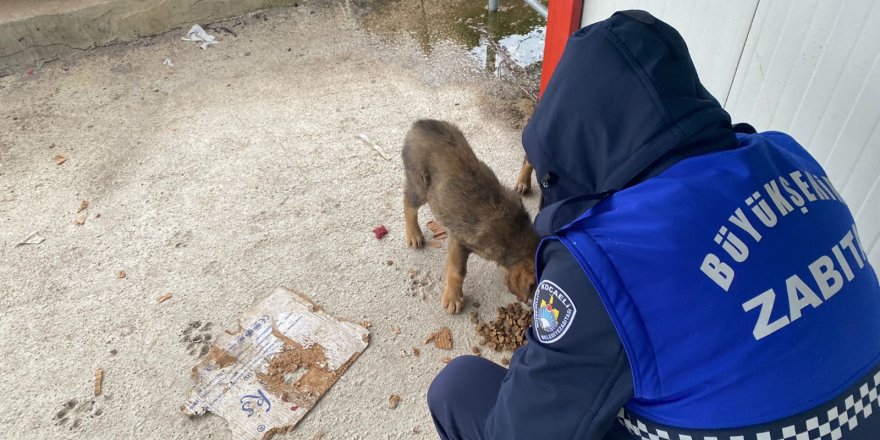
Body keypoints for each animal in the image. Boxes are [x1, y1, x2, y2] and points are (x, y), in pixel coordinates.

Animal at [402, 118, 540, 314]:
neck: (515, 233)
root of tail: (420, 124)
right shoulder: (459, 241)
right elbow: (457, 272)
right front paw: (453, 298)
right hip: (419, 184)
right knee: (408, 204)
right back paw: (414, 234)